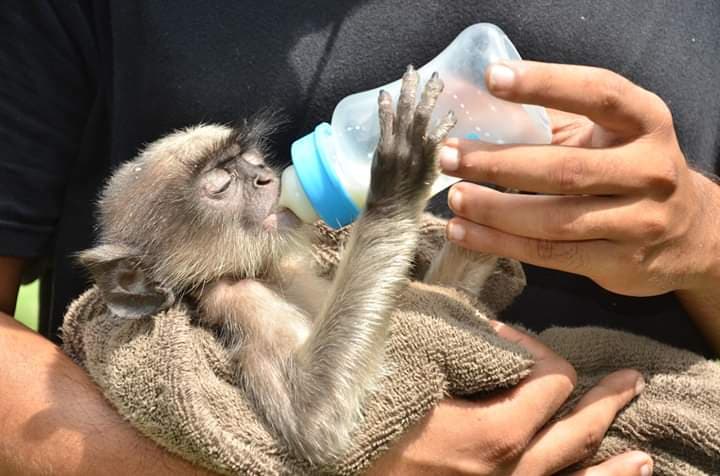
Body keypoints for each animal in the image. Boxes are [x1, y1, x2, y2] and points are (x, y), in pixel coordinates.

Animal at [78, 66, 498, 465]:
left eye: (251, 162)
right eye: (221, 184)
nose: (265, 177)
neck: (264, 272)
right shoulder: (238, 299)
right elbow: (314, 419)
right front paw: (396, 183)